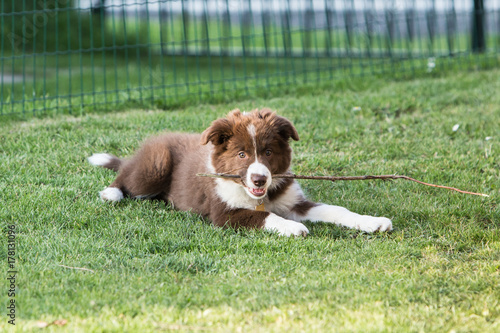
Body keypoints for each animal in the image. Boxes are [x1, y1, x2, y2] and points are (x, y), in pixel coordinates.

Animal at [91, 107, 394, 235]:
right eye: (241, 154)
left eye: (268, 152)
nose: (259, 179)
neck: (259, 196)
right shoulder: (224, 213)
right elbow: (264, 216)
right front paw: (293, 227)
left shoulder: (294, 202)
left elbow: (336, 210)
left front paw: (373, 222)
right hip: (156, 164)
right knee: (126, 177)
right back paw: (111, 193)